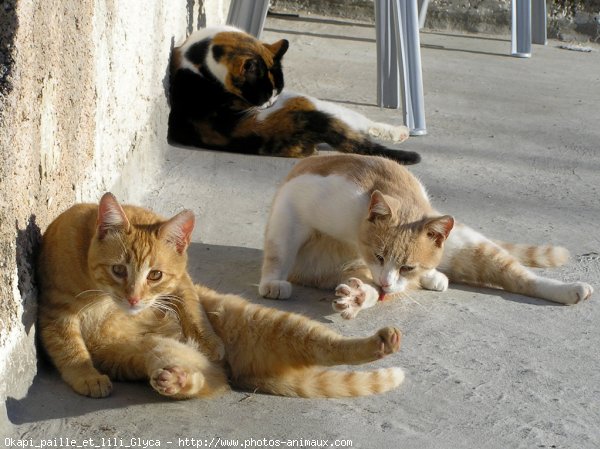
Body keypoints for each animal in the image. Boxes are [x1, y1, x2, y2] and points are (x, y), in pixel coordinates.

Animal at [36, 192, 404, 400]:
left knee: (330, 345)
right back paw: (176, 379)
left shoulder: (182, 281)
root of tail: (239, 369)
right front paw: (87, 376)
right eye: (118, 270)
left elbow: (190, 305)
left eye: (155, 275)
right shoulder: (55, 312)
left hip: (275, 323)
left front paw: (208, 340)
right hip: (147, 353)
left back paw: (380, 342)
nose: (134, 300)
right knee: (204, 381)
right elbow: (70, 349)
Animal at [166, 25, 422, 164]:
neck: (199, 55)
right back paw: (399, 132)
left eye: (275, 91)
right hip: (310, 103)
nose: (270, 104)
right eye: (262, 96)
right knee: (358, 123)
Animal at [260, 154, 592, 318]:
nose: (386, 280)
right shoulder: (294, 202)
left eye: (407, 266)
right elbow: (279, 250)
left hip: (471, 248)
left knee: (522, 278)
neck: (353, 228)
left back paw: (570, 289)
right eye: (378, 255)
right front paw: (272, 282)